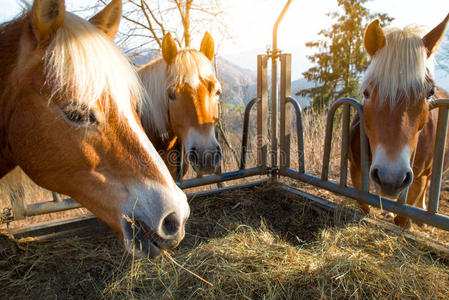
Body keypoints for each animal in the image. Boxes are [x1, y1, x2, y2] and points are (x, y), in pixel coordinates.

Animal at [348, 13, 448, 227]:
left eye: (430, 93)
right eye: (366, 92)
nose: (391, 178)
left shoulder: (419, 179)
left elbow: (404, 215)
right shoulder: (356, 167)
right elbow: (363, 204)